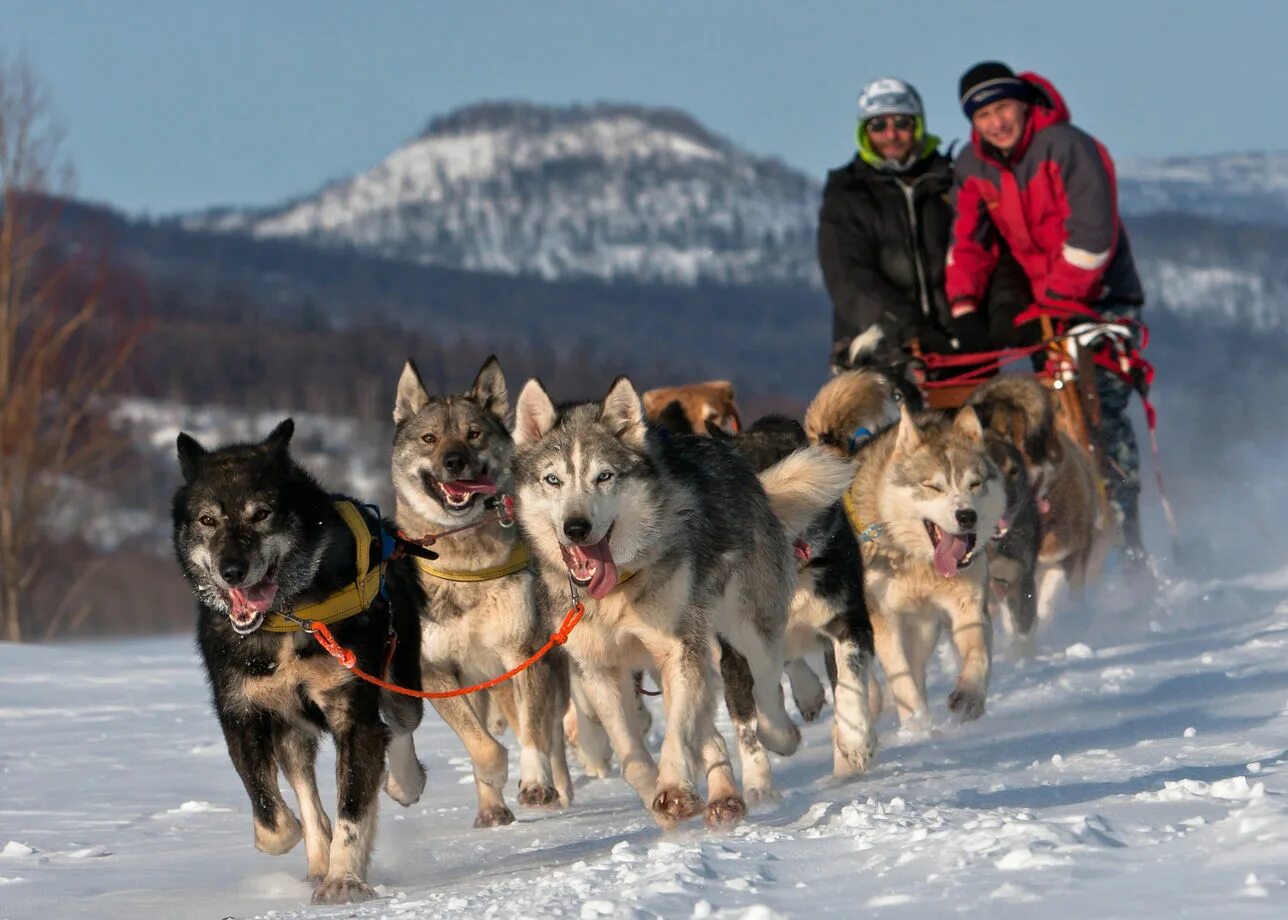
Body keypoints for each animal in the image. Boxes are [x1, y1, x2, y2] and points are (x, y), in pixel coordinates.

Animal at [170, 417, 422, 901]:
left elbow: (351, 810)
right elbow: (272, 815)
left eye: (261, 514)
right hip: (291, 731)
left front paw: (344, 879)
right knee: (305, 790)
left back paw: (404, 781)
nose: (232, 571)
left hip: (398, 674)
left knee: (401, 723)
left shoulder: (353, 715)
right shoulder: (241, 714)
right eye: (207, 520)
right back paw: (317, 857)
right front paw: (301, 844)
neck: (285, 619)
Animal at [850, 404, 1009, 726]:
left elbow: (978, 654)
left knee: (917, 666)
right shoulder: (884, 620)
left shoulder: (969, 607)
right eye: (933, 487)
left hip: (924, 630)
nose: (967, 516)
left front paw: (970, 695)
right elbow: (901, 680)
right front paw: (918, 726)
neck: (920, 562)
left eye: (975, 484)